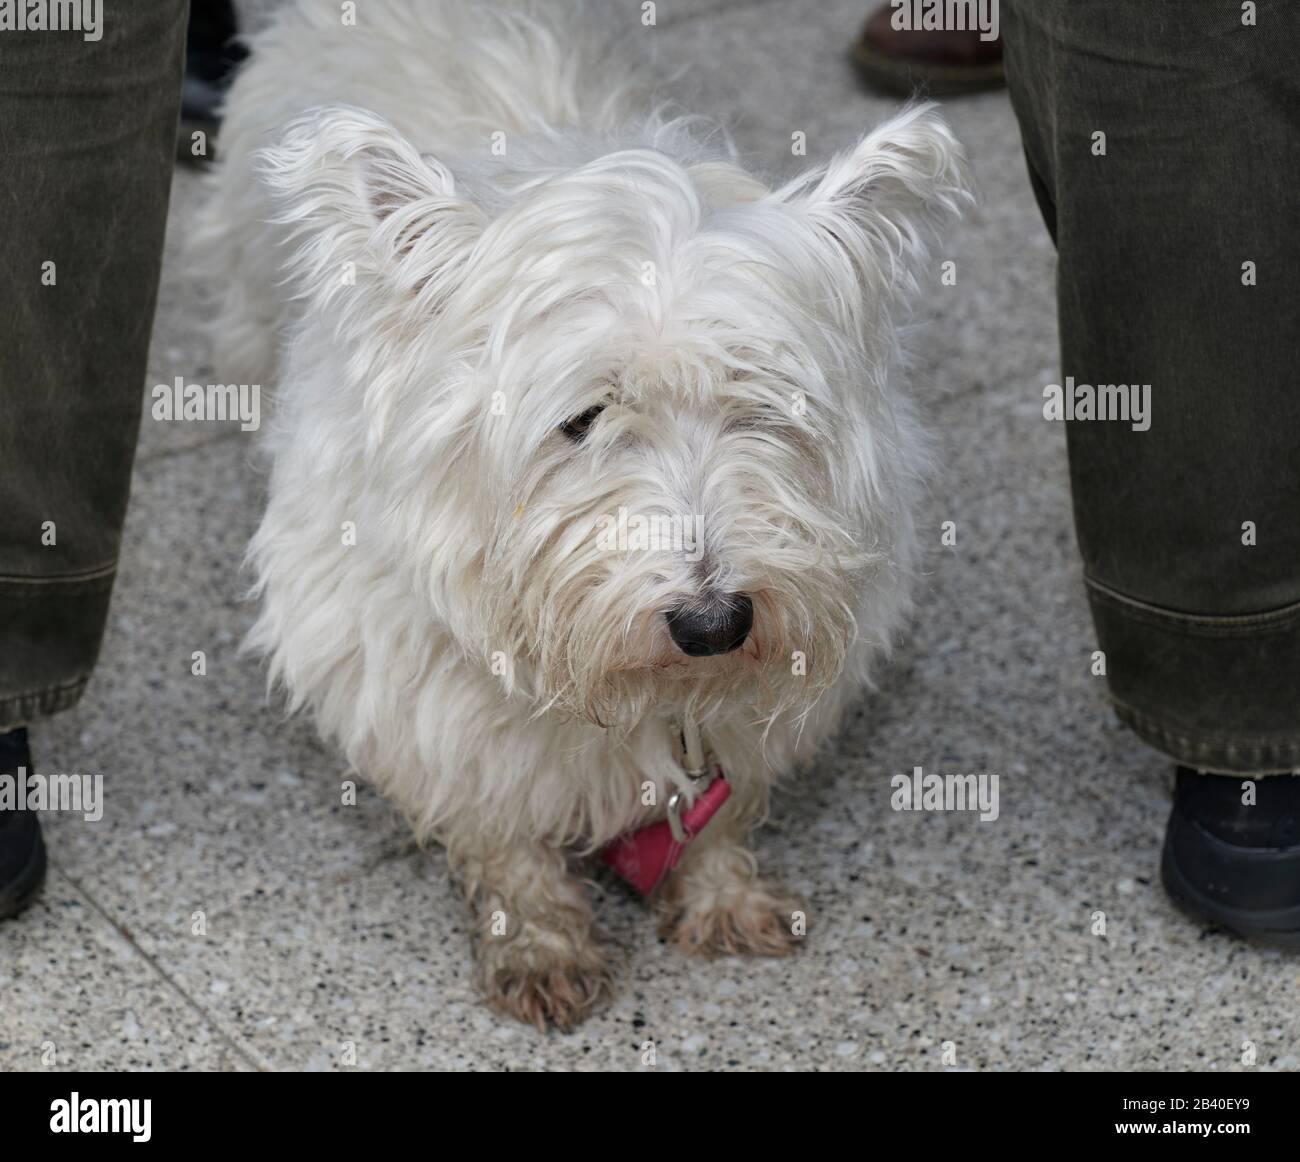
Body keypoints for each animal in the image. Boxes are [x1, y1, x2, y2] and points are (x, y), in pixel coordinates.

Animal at [192, 0, 967, 1034]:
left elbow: (720, 804)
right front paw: (538, 939)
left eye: (760, 411)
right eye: (584, 419)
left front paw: (720, 894)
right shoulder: (421, 691)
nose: (714, 623)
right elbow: (499, 826)